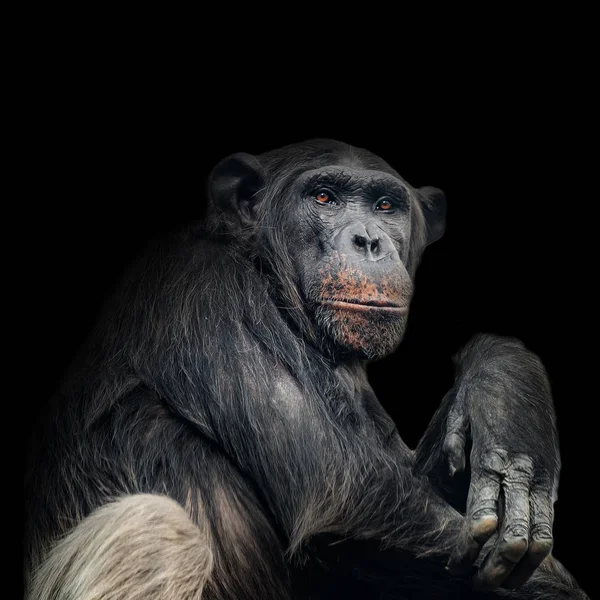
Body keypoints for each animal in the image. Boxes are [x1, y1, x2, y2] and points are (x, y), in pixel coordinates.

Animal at [23, 138, 584, 596]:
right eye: (324, 198)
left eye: (385, 206)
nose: (369, 240)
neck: (267, 276)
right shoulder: (204, 296)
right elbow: (340, 493)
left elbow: (424, 485)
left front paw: (505, 404)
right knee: (157, 532)